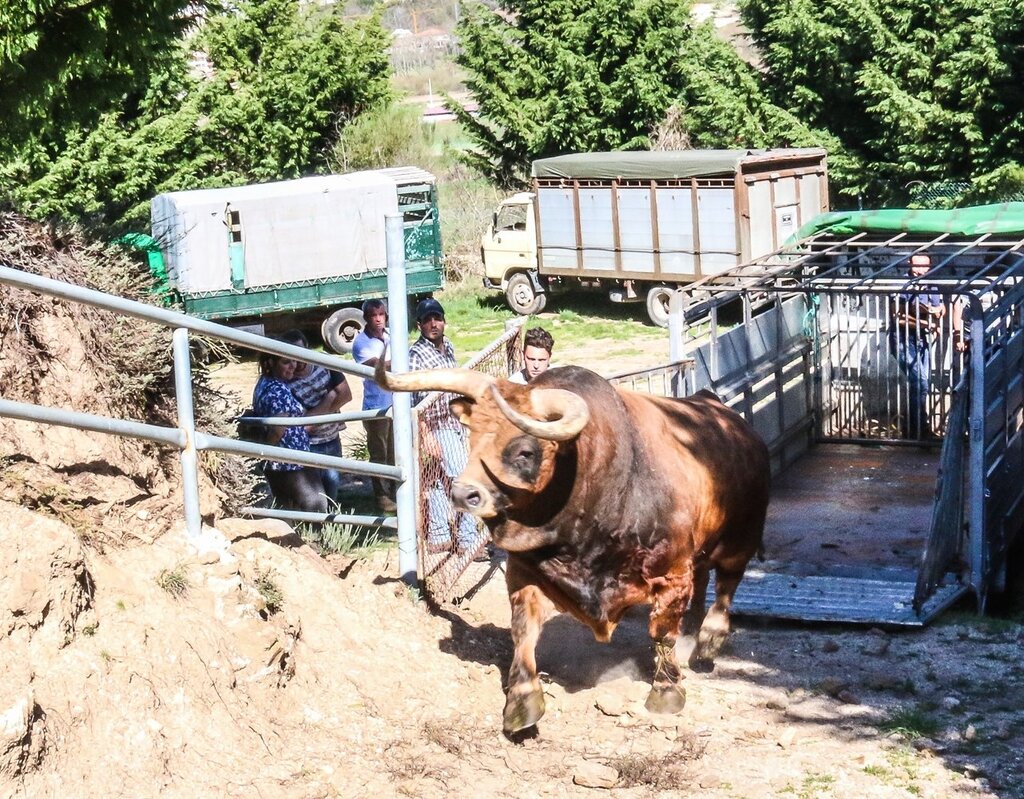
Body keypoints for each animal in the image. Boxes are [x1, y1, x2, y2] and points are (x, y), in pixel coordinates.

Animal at [376, 362, 770, 729]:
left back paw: (708, 642)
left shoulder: (671, 574)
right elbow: (523, 630)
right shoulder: (524, 572)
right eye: (473, 438)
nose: (463, 494)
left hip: (741, 539)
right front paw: (522, 701)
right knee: (703, 584)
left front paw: (667, 690)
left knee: (725, 588)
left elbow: (662, 633)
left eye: (524, 450)